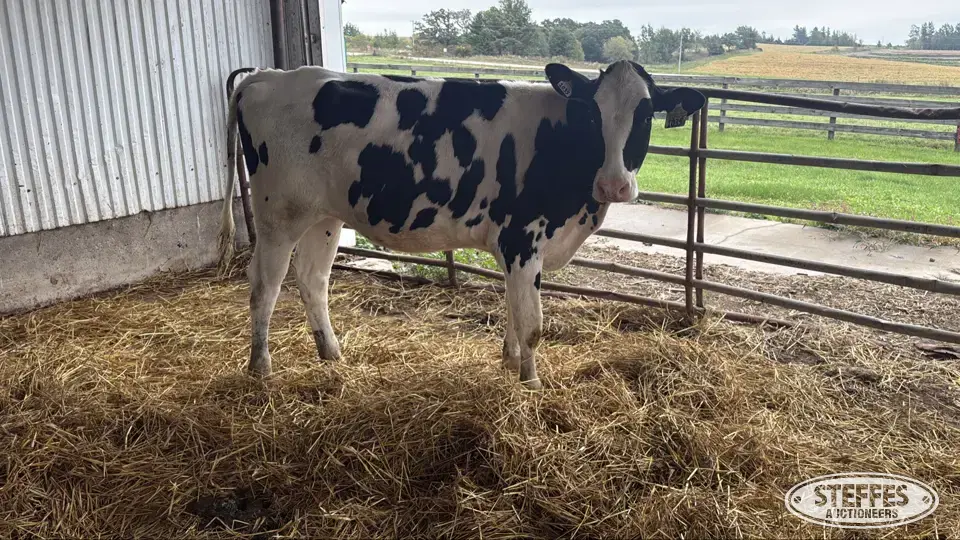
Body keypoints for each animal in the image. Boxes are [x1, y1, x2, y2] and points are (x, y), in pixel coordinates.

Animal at [217, 60, 705, 389]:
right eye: (591, 114)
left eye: (647, 114)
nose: (614, 184)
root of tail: (269, 76)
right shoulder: (522, 239)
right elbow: (531, 322)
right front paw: (531, 385)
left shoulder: (517, 249)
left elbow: (513, 310)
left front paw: (510, 364)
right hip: (278, 214)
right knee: (264, 286)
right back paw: (260, 368)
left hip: (325, 216)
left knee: (312, 279)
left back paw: (331, 354)